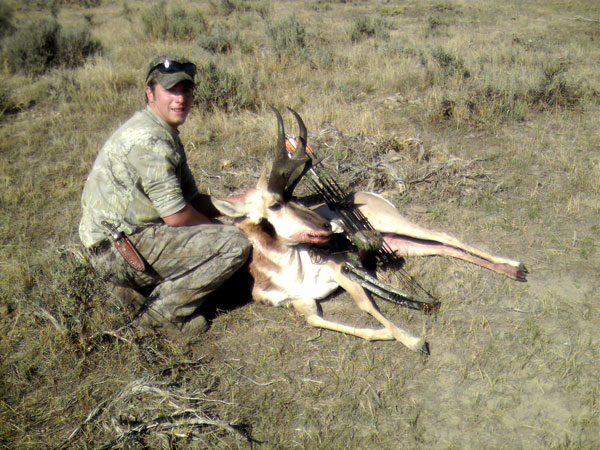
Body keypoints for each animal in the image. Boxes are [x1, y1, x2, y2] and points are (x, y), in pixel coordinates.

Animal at [213, 109, 528, 356]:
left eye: (294, 197)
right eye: (276, 204)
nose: (328, 226)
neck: (291, 270)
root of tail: (366, 193)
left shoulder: (342, 271)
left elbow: (366, 305)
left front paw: (414, 341)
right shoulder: (301, 303)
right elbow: (318, 322)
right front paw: (387, 335)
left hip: (397, 226)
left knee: (447, 237)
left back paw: (516, 265)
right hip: (405, 245)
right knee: (445, 248)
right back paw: (513, 272)